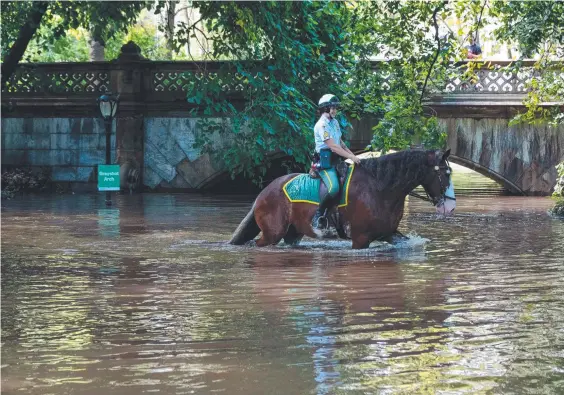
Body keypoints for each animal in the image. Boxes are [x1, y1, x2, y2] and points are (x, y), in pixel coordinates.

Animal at [228, 150, 454, 249]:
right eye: (446, 173)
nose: (451, 207)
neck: (380, 188)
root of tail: (263, 193)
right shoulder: (360, 239)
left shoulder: (389, 233)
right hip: (272, 233)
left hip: (293, 233)